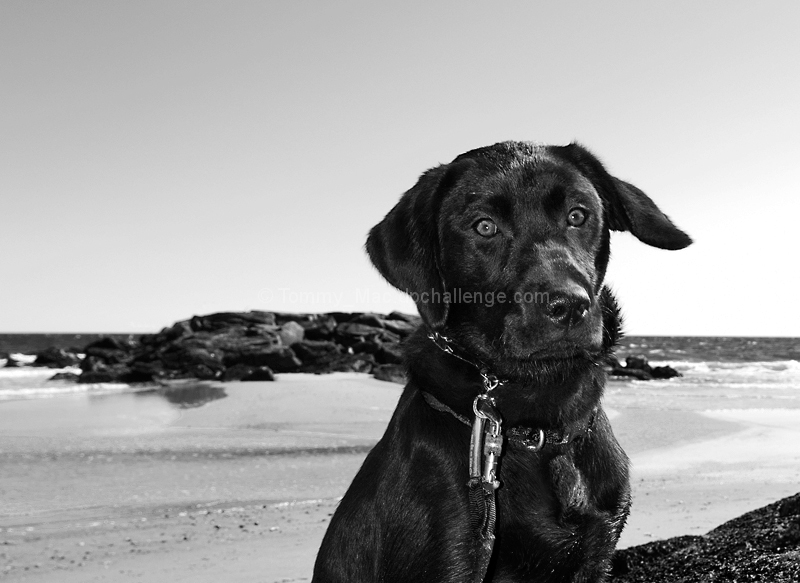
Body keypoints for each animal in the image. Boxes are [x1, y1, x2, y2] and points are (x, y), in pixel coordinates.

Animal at [316, 143, 692, 583]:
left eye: (578, 216)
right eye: (484, 227)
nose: (569, 306)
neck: (538, 424)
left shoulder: (596, 552)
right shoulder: (454, 558)